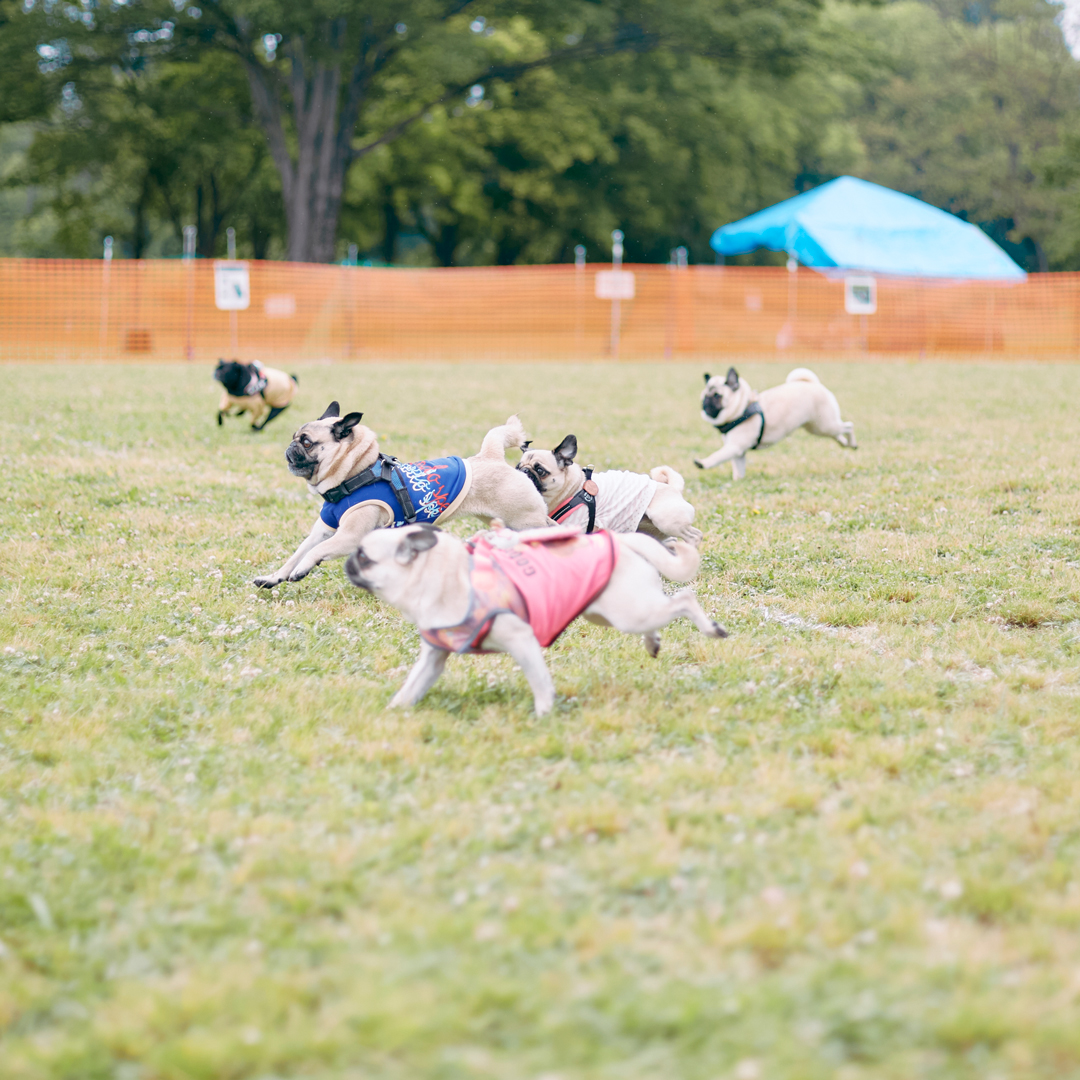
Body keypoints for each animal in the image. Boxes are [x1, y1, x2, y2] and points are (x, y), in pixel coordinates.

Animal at [253, 406, 552, 591]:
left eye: (306, 442)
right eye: (295, 438)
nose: (290, 447)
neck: (356, 473)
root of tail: (491, 456)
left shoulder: (349, 537)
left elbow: (314, 553)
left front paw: (302, 570)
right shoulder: (322, 532)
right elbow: (297, 554)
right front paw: (275, 577)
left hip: (525, 520)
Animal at [343, 522, 725, 717]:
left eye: (365, 557)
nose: (348, 561)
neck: (446, 574)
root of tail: (622, 541)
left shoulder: (521, 640)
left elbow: (540, 682)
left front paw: (544, 713)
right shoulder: (433, 660)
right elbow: (411, 688)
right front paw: (394, 710)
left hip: (629, 612)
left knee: (684, 599)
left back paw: (710, 628)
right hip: (608, 612)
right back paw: (653, 642)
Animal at [518, 434, 704, 544]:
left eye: (540, 471)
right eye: (518, 466)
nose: (524, 471)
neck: (572, 490)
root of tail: (673, 488)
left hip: (666, 520)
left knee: (694, 535)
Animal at [695, 367, 855, 481]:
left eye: (717, 396)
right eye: (704, 396)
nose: (705, 402)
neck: (743, 406)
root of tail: (812, 383)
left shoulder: (734, 447)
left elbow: (717, 456)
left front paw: (703, 463)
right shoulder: (738, 452)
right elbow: (738, 471)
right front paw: (737, 480)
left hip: (825, 425)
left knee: (849, 426)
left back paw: (852, 443)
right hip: (817, 427)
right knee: (838, 434)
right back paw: (845, 444)